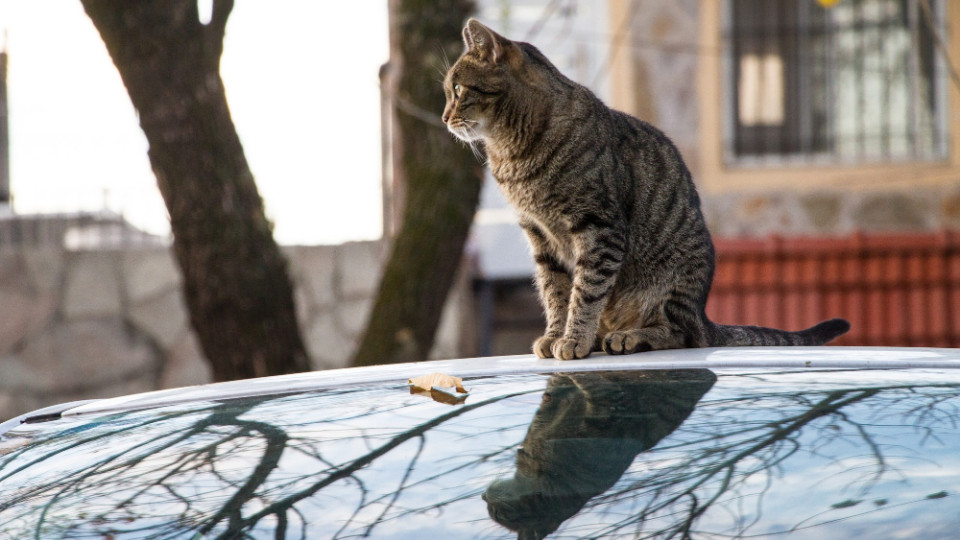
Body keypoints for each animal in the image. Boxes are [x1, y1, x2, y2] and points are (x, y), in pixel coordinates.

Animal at [442, 20, 848, 358]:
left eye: (458, 89)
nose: (445, 117)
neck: (511, 153)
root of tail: (704, 315)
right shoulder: (540, 237)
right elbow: (555, 292)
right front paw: (557, 334)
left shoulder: (598, 226)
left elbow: (585, 291)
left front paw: (573, 339)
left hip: (673, 281)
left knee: (681, 334)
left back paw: (631, 336)